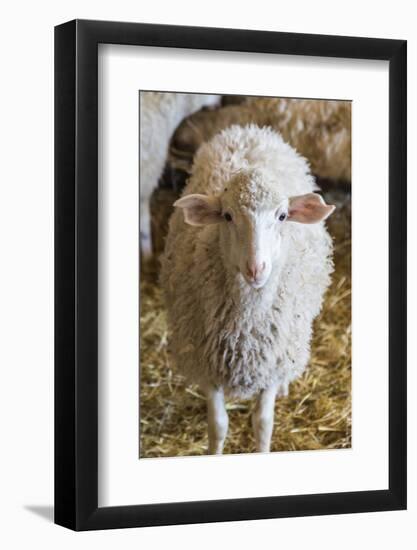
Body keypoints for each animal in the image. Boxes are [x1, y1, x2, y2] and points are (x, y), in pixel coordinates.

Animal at [159, 126, 334, 458]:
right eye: (227, 216)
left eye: (282, 216)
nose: (256, 268)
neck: (246, 328)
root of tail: (249, 130)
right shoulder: (208, 364)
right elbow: (218, 425)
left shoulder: (270, 364)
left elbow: (263, 423)